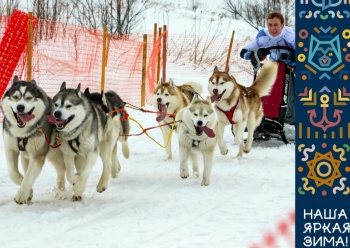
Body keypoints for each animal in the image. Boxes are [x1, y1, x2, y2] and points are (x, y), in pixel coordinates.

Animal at [0, 76, 65, 204]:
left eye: (29, 98)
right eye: (15, 97)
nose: (20, 107)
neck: (22, 132)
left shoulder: (38, 155)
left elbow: (29, 177)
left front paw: (21, 194)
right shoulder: (10, 149)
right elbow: (14, 173)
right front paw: (28, 192)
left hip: (58, 155)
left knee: (63, 171)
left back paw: (64, 192)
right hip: (29, 156)